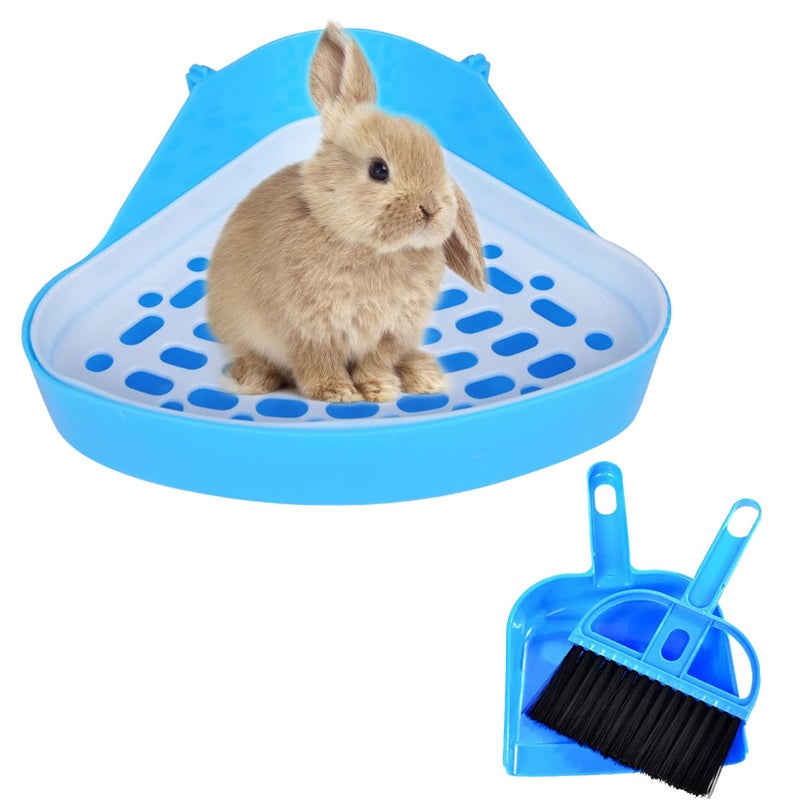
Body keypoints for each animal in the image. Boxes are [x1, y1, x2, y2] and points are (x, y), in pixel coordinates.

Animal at [206, 21, 486, 403]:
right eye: (379, 170)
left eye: (440, 164)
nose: (431, 209)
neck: (368, 247)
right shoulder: (309, 331)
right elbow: (317, 363)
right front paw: (338, 393)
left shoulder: (389, 333)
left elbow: (375, 363)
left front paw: (380, 389)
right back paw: (252, 379)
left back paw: (425, 377)